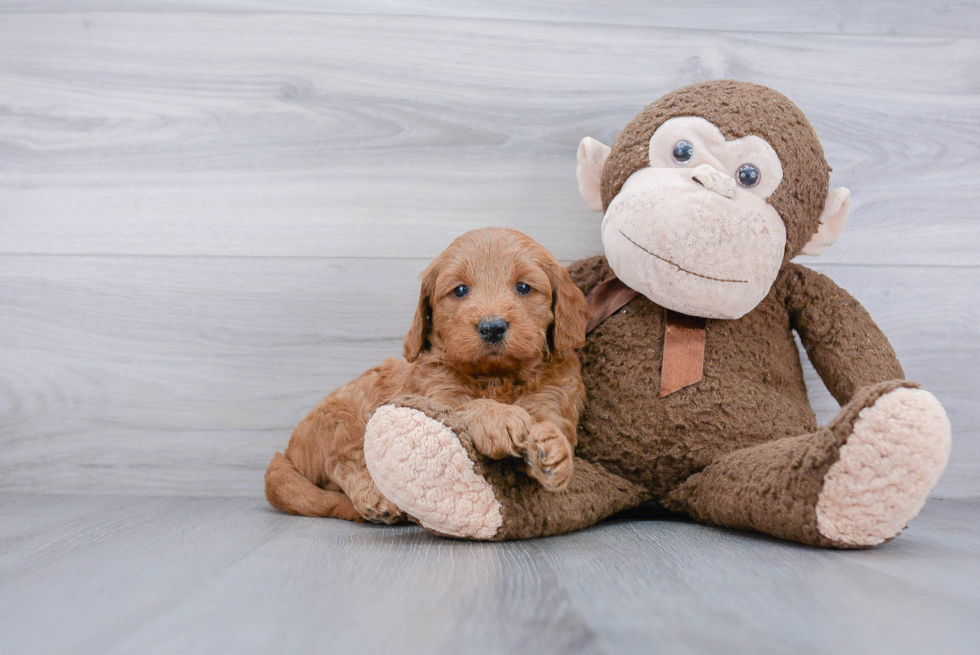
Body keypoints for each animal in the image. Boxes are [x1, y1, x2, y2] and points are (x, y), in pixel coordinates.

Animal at [264, 228, 584, 524]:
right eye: (460, 290)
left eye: (523, 287)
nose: (492, 327)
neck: (496, 377)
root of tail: (288, 452)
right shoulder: (434, 397)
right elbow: (467, 406)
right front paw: (498, 417)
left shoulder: (554, 398)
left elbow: (554, 425)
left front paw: (551, 450)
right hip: (341, 419)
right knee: (343, 461)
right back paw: (376, 497)